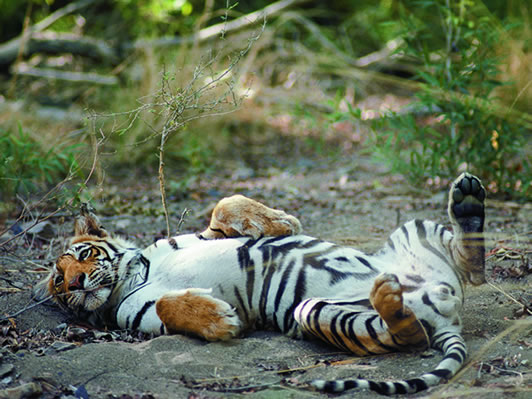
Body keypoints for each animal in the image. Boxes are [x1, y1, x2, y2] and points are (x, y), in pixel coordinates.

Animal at [33, 173, 486, 396]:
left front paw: (283, 221)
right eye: (59, 283)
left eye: (82, 255)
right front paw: (221, 320)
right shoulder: (145, 319)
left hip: (415, 229)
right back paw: (389, 295)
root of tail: (446, 316)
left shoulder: (204, 236)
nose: (74, 281)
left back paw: (467, 203)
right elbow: (165, 304)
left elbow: (226, 204)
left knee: (473, 267)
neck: (133, 272)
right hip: (318, 312)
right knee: (405, 333)